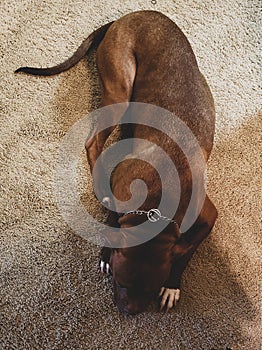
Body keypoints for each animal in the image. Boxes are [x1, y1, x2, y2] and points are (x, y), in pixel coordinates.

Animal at [15, 10, 218, 314]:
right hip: (120, 88)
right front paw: (107, 250)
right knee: (93, 142)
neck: (157, 202)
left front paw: (173, 285)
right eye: (121, 282)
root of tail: (127, 16)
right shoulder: (121, 185)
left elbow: (187, 250)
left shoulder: (207, 215)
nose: (128, 312)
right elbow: (114, 212)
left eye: (150, 289)